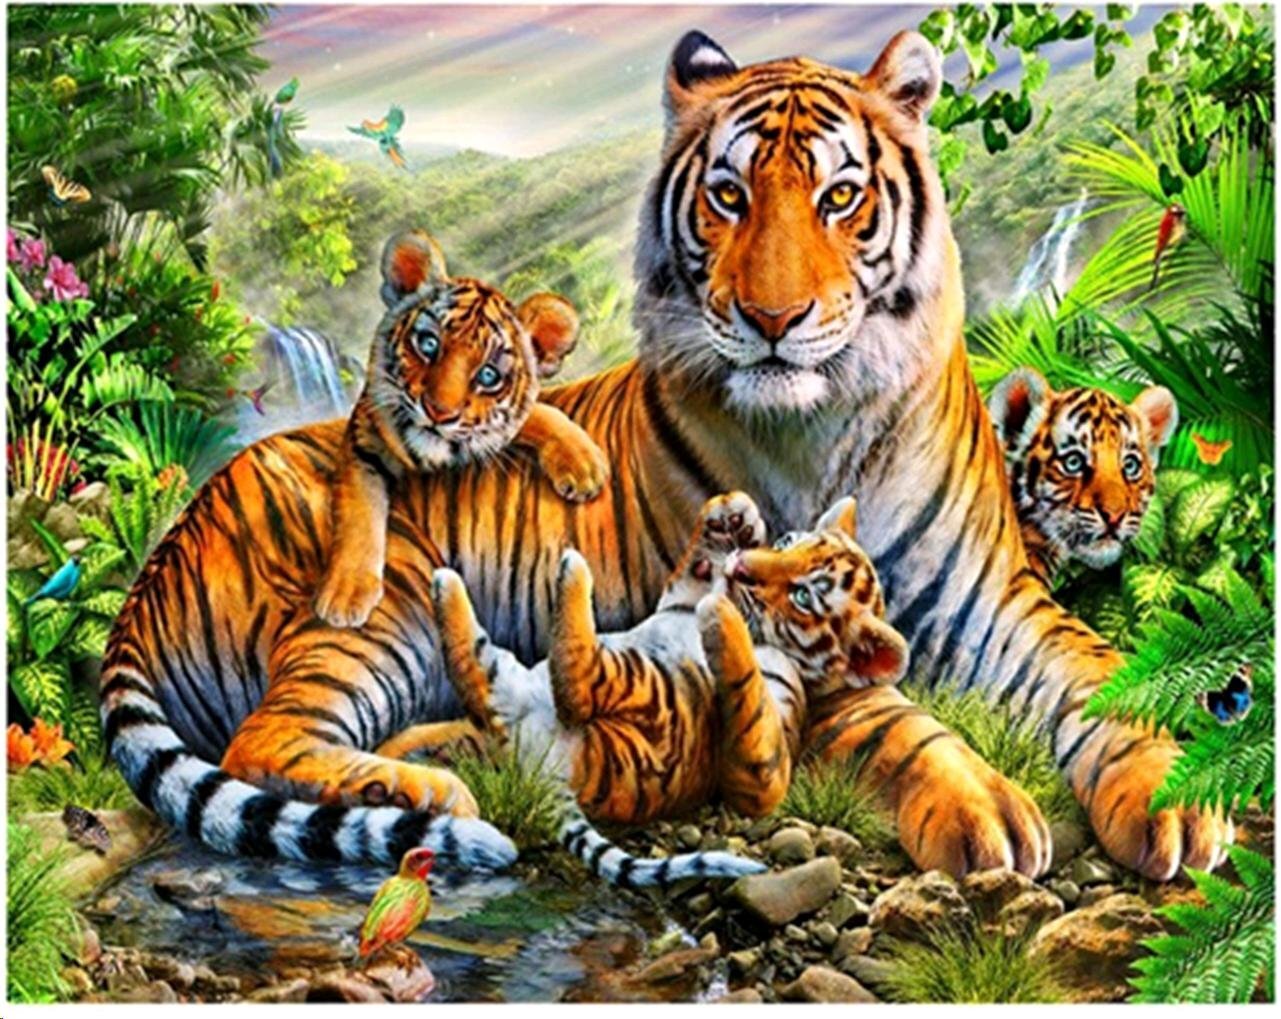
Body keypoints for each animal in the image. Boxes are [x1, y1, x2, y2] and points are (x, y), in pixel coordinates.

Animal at [314, 228, 609, 628]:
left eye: (488, 375)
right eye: (428, 344)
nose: (438, 412)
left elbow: (538, 414)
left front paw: (583, 464)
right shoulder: (363, 443)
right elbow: (358, 512)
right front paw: (346, 594)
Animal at [426, 491, 907, 886]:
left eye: (803, 597)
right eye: (787, 541)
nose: (741, 566)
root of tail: (540, 768)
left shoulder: (765, 772)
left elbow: (749, 699)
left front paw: (720, 614)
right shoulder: (679, 597)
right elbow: (692, 572)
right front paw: (733, 514)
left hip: (649, 698)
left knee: (581, 680)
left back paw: (571, 571)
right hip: (511, 681)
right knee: (475, 674)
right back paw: (446, 582)